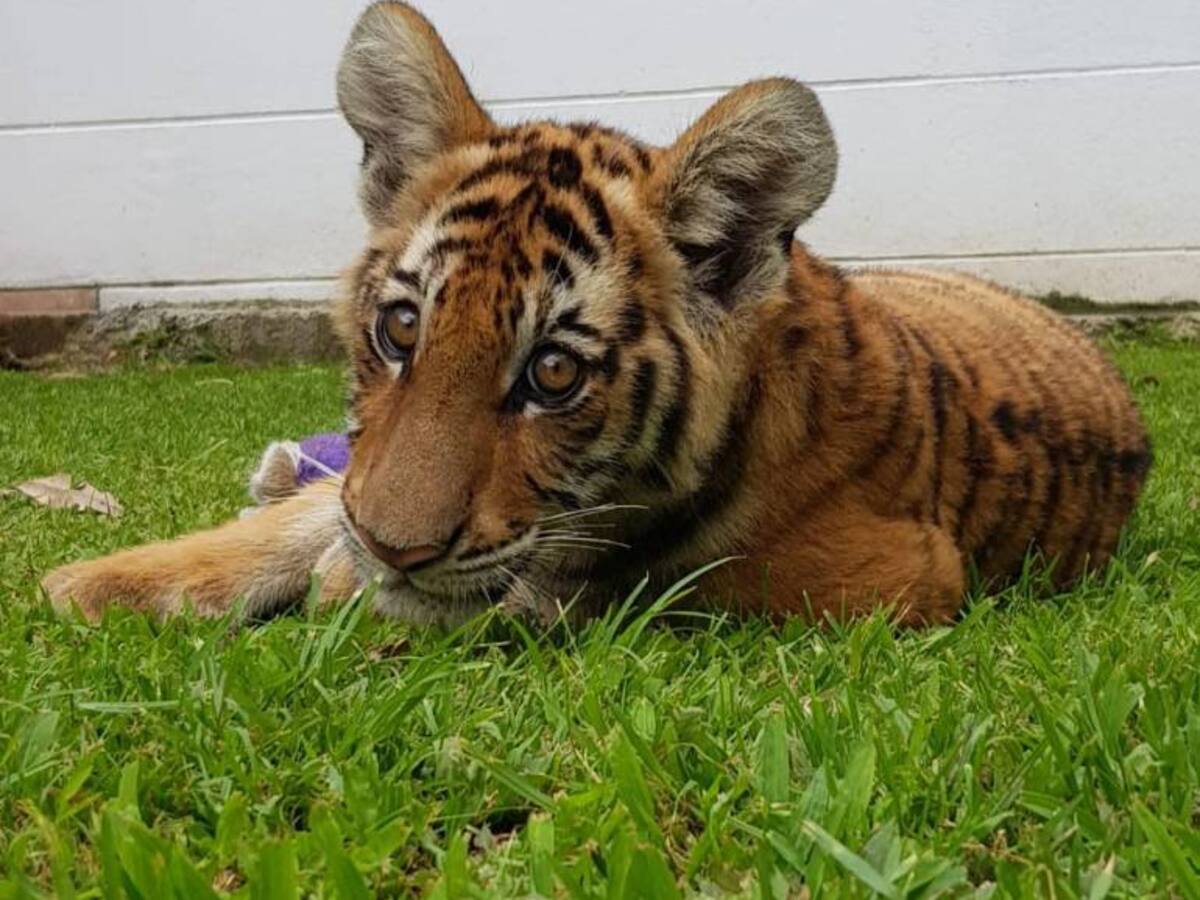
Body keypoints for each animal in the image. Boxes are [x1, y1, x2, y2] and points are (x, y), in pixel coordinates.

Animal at [41, 1, 1151, 627]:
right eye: (402, 330)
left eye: (553, 373)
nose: (396, 552)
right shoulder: (368, 474)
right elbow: (322, 509)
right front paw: (94, 583)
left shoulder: (892, 574)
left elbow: (603, 584)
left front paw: (357, 587)